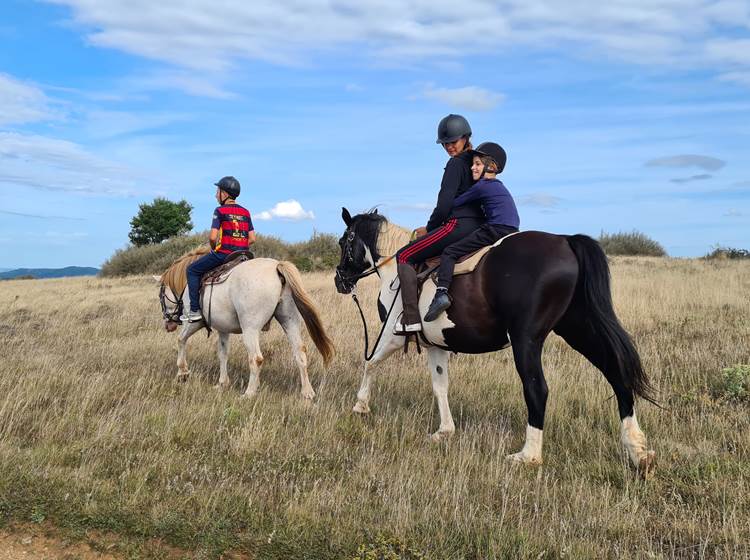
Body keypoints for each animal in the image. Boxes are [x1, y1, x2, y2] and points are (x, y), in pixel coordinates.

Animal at [157, 248, 334, 398]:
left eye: (161, 295)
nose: (168, 324)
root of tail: (276, 267)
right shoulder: (223, 329)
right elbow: (223, 353)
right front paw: (222, 383)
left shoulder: (194, 322)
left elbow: (181, 340)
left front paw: (182, 373)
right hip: (290, 321)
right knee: (300, 352)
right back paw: (307, 392)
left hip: (250, 329)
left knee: (256, 358)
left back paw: (249, 393)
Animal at [334, 208, 656, 474]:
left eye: (343, 242)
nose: (340, 281)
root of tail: (565, 241)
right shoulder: (436, 345)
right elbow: (440, 386)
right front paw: (445, 431)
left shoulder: (392, 334)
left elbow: (370, 364)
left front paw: (361, 405)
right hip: (579, 329)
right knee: (616, 374)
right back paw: (637, 451)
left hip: (526, 341)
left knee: (537, 389)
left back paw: (528, 456)